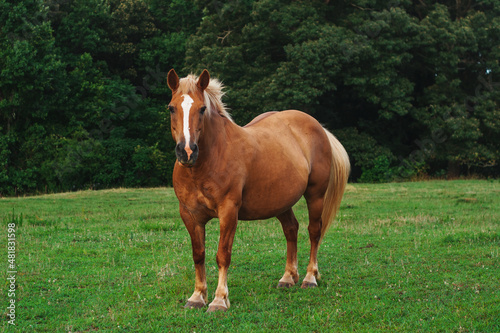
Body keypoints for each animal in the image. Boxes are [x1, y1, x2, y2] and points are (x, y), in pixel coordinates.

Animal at [166, 68, 350, 310]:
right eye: (171, 108)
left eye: (202, 108)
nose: (186, 151)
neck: (206, 163)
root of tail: (318, 126)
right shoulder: (189, 215)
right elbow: (198, 255)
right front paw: (197, 297)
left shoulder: (229, 211)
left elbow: (222, 254)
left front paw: (219, 299)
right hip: (281, 201)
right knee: (291, 229)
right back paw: (288, 277)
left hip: (315, 196)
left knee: (314, 231)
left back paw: (310, 277)